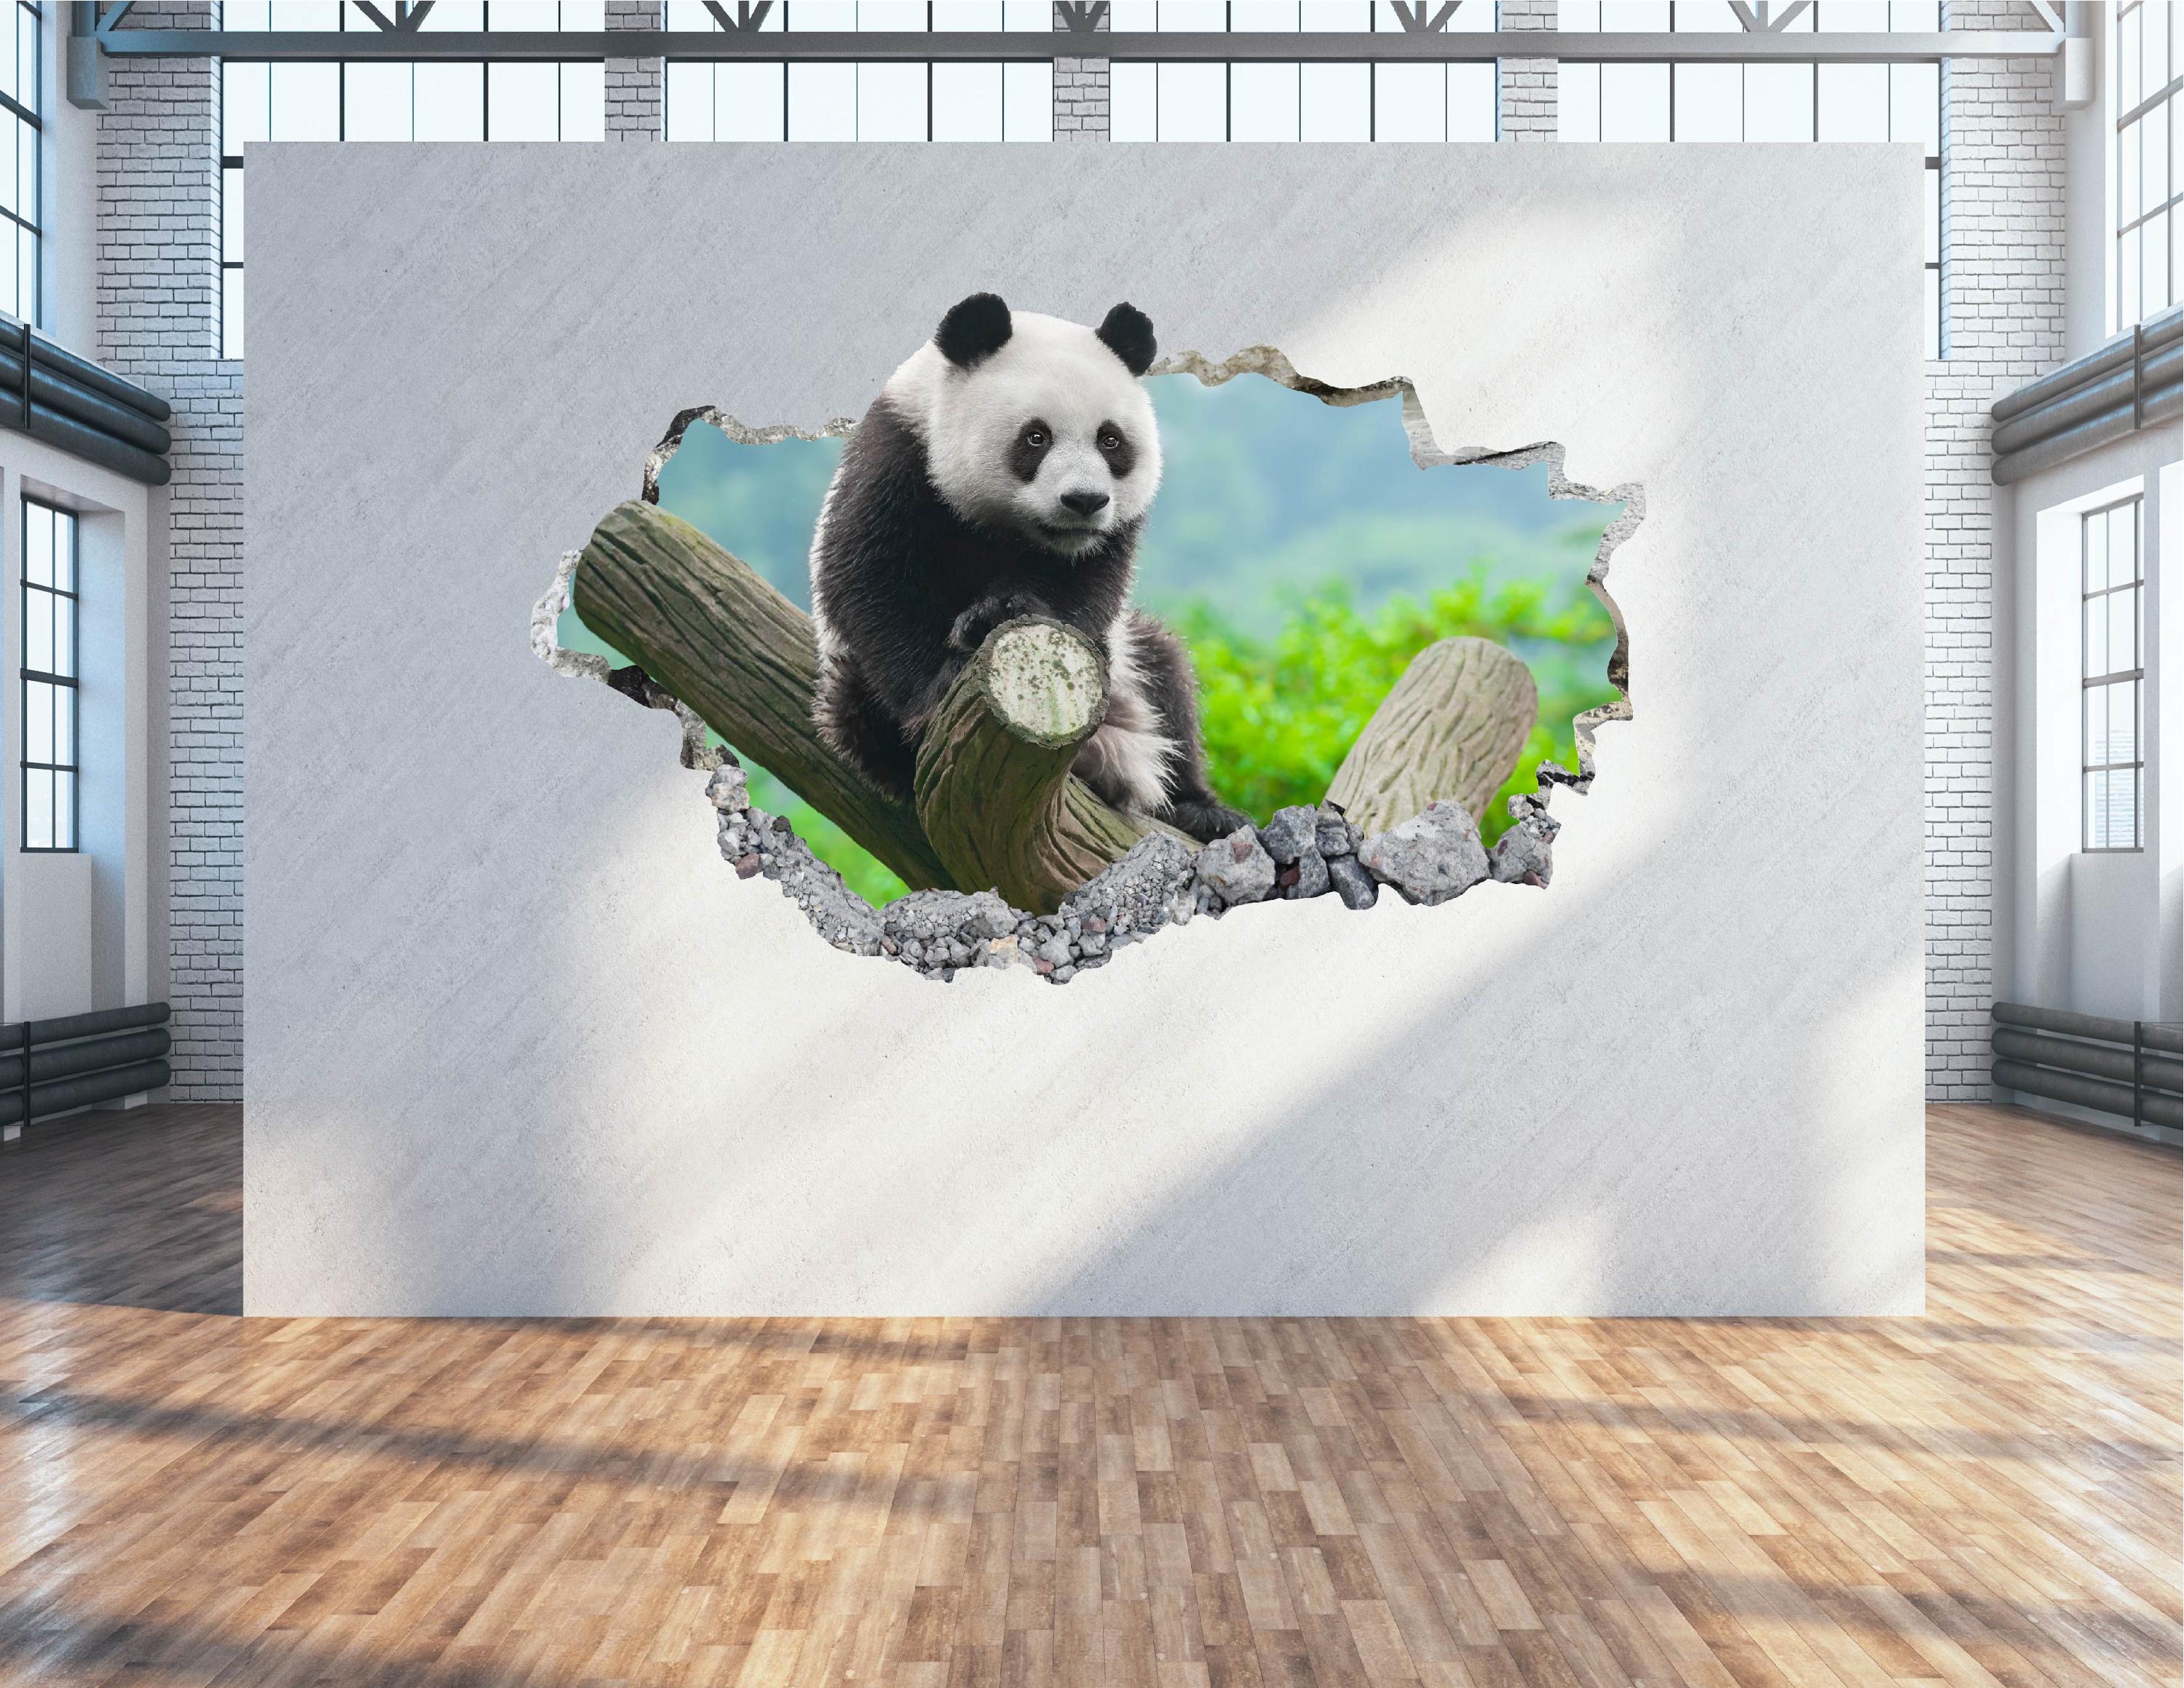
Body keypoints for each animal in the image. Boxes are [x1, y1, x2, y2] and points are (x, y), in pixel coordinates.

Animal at [809, 292, 1249, 846]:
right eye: (1036, 437)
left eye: (1110, 441)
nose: (1084, 501)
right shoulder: (897, 458)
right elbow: (872, 582)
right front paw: (942, 680)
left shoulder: (1106, 538)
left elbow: (1085, 586)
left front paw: (1000, 611)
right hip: (847, 682)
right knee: (855, 711)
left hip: (1132, 670)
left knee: (1167, 677)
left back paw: (1200, 810)